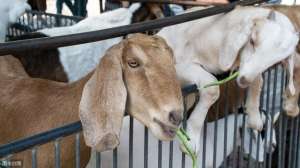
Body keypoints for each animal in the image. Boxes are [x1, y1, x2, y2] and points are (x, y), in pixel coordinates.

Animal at [157, 6, 298, 154]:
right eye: (252, 41)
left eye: (277, 61)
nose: (244, 80)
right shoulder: (178, 66)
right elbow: (212, 88)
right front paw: (190, 142)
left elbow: (259, 80)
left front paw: (254, 118)